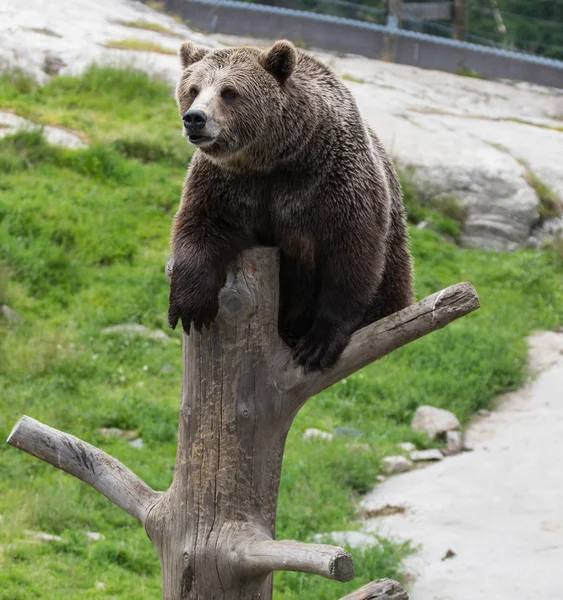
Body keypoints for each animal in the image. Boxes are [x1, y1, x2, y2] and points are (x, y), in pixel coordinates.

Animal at [167, 38, 414, 370]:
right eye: (193, 89)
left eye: (229, 92)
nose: (195, 118)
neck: (275, 158)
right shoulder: (228, 182)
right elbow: (202, 223)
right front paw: (189, 305)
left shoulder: (334, 182)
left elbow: (351, 252)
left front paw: (319, 343)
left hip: (396, 263)